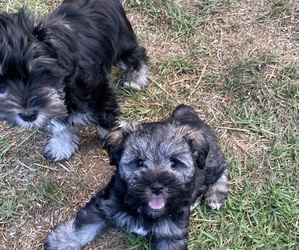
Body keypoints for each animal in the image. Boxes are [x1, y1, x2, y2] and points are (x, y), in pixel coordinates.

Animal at [0, 0, 149, 161]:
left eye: (41, 72)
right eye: (1, 82)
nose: (28, 116)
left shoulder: (99, 94)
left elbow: (108, 118)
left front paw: (118, 140)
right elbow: (60, 125)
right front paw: (62, 146)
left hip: (122, 43)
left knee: (136, 55)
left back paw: (136, 80)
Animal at [44, 104, 230, 250]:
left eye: (174, 162)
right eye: (139, 162)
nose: (157, 187)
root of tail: (188, 114)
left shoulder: (171, 234)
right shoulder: (105, 204)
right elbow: (82, 227)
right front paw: (61, 241)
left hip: (209, 163)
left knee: (223, 168)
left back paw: (216, 195)